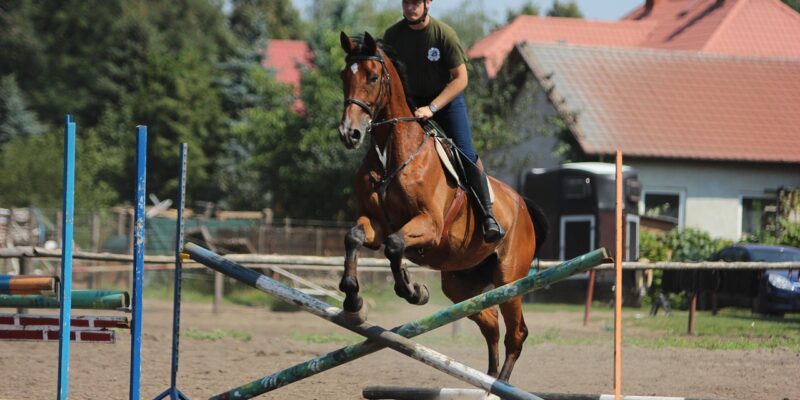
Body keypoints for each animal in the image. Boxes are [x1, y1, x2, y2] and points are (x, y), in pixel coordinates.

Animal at [337, 31, 547, 382]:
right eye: (344, 77)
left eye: (373, 77)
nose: (349, 133)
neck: (391, 154)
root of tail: (523, 204)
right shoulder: (376, 223)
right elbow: (354, 237)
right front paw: (353, 300)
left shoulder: (430, 226)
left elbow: (395, 246)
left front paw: (413, 290)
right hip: (459, 283)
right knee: (490, 322)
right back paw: (487, 379)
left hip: (509, 278)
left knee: (516, 332)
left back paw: (501, 382)